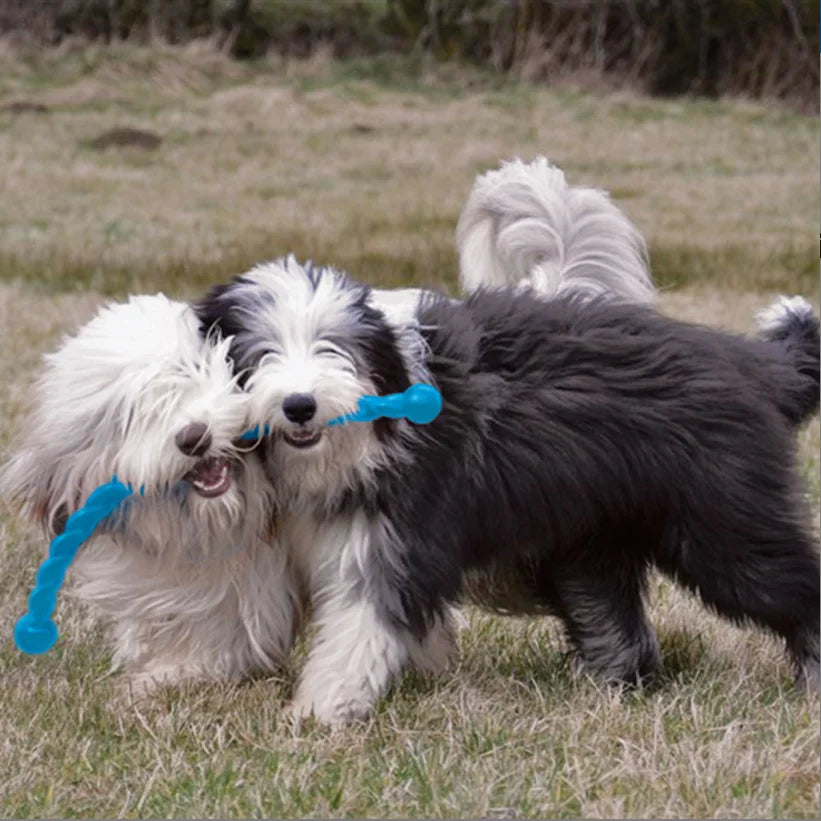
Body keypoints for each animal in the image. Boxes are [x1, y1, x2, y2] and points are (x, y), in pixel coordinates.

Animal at [197, 258, 820, 724]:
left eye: (334, 348)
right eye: (257, 353)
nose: (299, 405)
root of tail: (759, 365)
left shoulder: (403, 534)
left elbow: (362, 624)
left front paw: (318, 711)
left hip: (723, 523)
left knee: (789, 583)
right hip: (592, 541)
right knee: (615, 622)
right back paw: (606, 690)